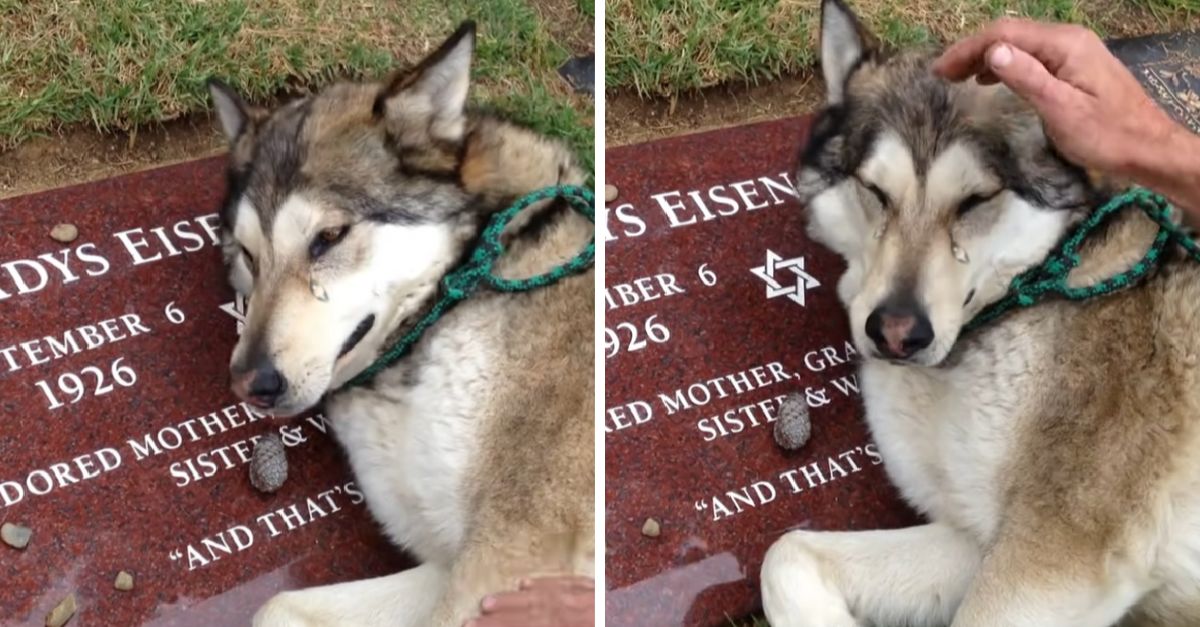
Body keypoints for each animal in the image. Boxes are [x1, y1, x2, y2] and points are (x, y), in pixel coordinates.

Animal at [212, 20, 600, 624]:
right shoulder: (447, 566)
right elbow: (276, 604)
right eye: (249, 257)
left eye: (328, 238)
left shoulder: (507, 557)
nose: (250, 384)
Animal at [758, 1, 1200, 624]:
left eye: (975, 200)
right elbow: (785, 552)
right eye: (875, 191)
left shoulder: (1051, 559)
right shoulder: (974, 538)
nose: (896, 334)